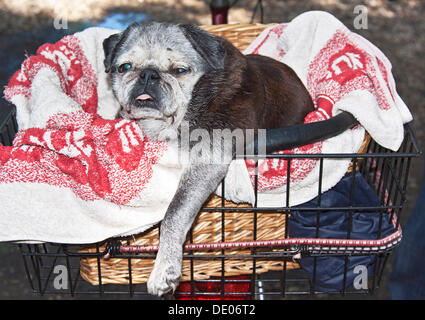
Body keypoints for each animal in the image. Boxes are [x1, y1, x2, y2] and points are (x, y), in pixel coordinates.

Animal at [102, 22, 314, 296]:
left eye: (180, 70)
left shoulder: (207, 159)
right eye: (124, 67)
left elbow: (174, 213)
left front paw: (164, 269)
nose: (148, 74)